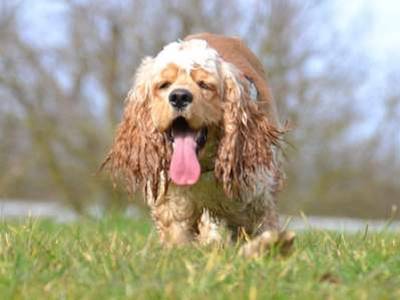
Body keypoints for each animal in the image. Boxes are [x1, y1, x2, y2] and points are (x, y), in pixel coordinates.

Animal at [101, 32, 292, 256]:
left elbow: (263, 230)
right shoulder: (173, 209)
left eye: (204, 84)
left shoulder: (258, 200)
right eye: (164, 85)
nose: (179, 96)